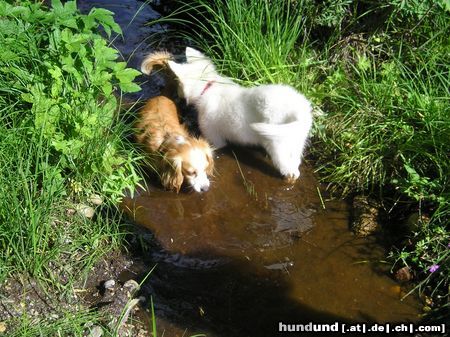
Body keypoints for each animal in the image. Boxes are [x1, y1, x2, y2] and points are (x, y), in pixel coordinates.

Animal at [165, 47, 312, 181]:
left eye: (178, 84)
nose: (176, 96)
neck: (208, 86)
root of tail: (298, 110)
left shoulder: (214, 138)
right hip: (295, 139)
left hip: (278, 143)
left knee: (288, 167)